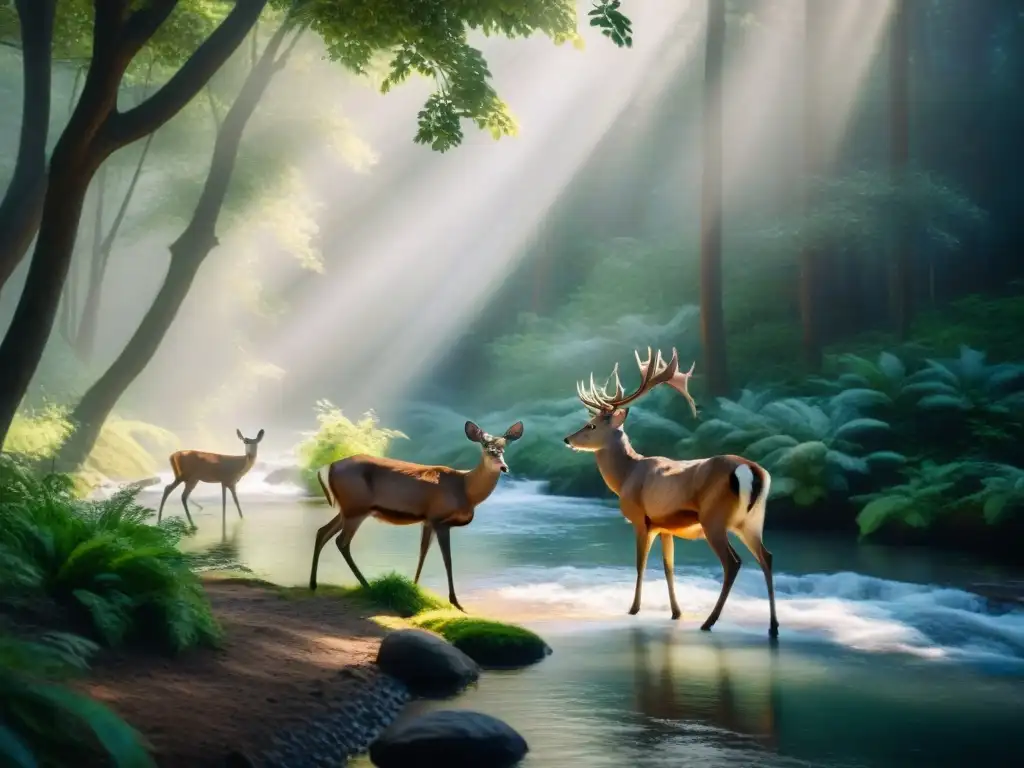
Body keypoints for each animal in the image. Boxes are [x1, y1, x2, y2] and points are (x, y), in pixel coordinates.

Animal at [309, 420, 525, 611]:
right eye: (485, 446)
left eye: (504, 447)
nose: (503, 467)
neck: (465, 488)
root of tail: (326, 468)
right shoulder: (440, 519)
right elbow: (448, 560)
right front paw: (456, 602)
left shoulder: (427, 520)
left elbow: (422, 552)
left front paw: (414, 588)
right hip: (356, 508)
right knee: (341, 542)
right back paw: (367, 585)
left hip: (347, 509)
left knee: (322, 532)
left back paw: (313, 583)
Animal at [563, 348, 779, 638]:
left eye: (592, 425)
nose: (567, 439)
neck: (626, 476)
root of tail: (751, 470)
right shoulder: (665, 526)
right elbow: (669, 567)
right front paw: (676, 612)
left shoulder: (641, 519)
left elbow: (640, 563)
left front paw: (634, 609)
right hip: (752, 521)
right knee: (767, 557)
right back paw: (773, 626)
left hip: (714, 518)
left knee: (732, 562)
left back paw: (709, 622)